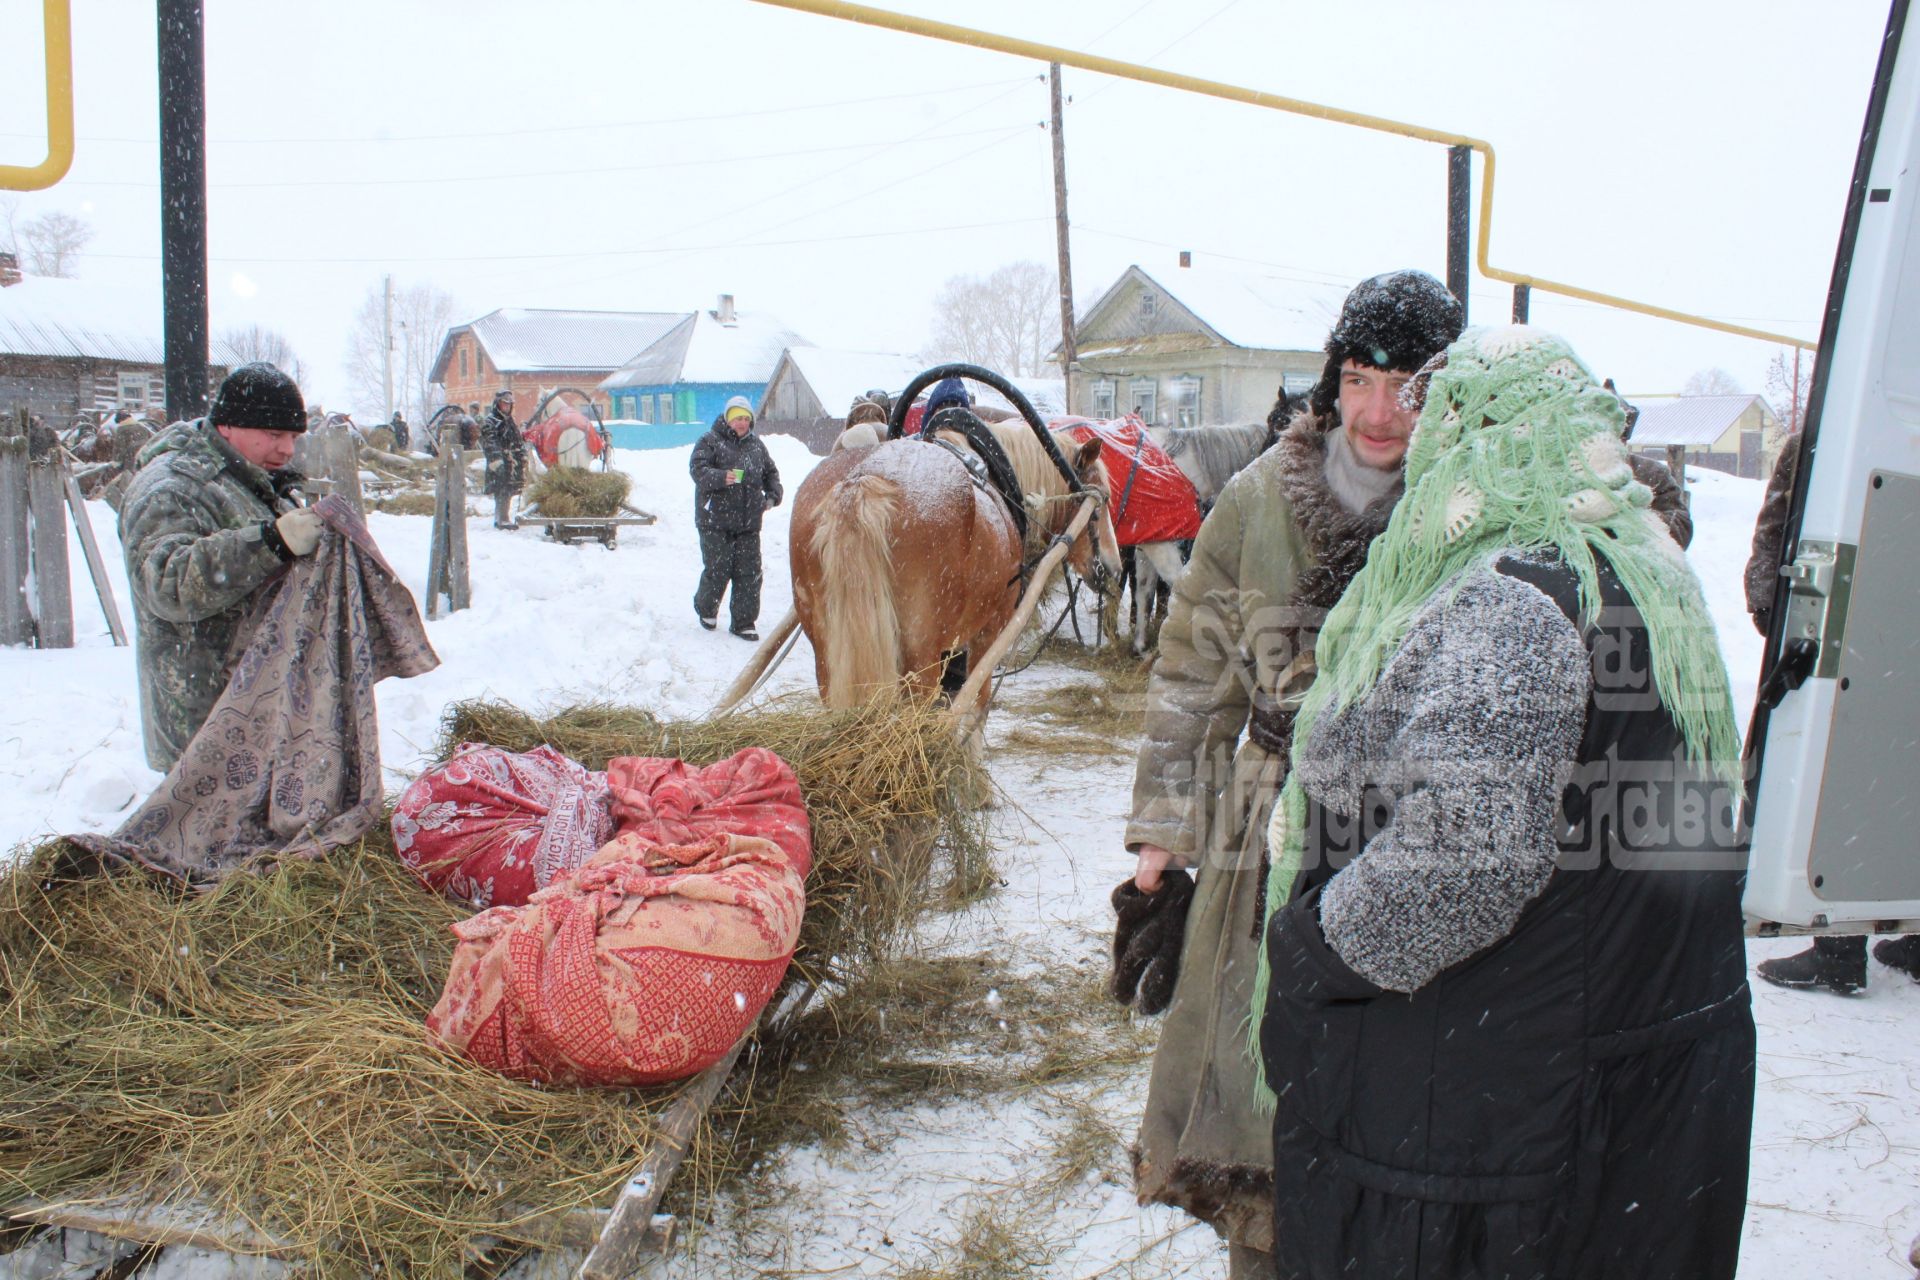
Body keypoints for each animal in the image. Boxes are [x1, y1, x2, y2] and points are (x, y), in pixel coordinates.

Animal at [791, 420, 1121, 721]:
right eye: (1102, 501)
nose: (1114, 568)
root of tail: (862, 482)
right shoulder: (989, 632)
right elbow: (974, 710)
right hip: (920, 656)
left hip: (828, 652)